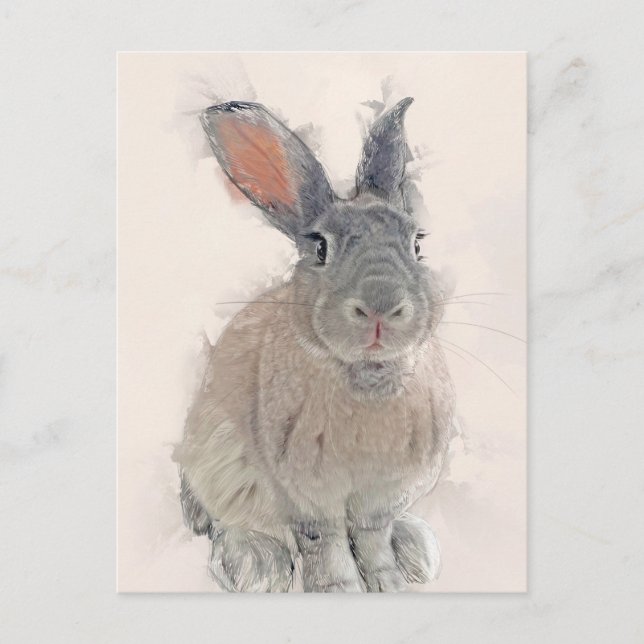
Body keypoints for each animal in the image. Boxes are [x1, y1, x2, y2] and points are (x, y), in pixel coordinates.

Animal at [174, 97, 455, 592]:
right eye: (321, 249)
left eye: (417, 245)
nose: (380, 307)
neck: (368, 376)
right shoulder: (306, 492)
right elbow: (325, 543)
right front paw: (338, 589)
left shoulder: (381, 495)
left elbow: (372, 538)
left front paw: (387, 583)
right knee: (223, 522)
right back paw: (256, 565)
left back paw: (414, 550)